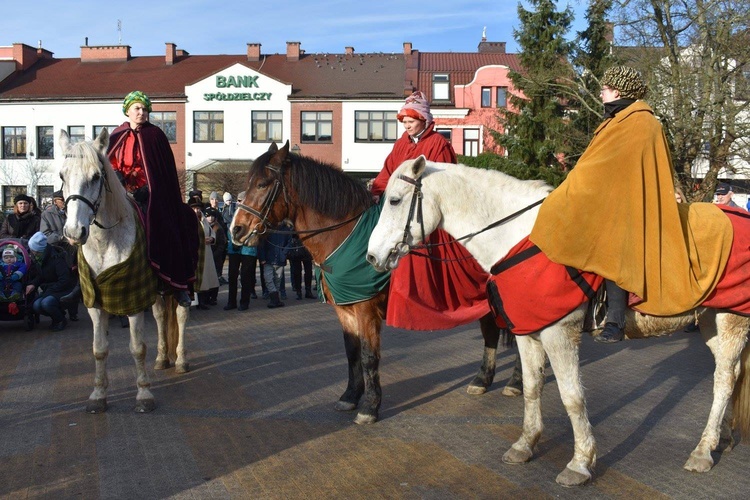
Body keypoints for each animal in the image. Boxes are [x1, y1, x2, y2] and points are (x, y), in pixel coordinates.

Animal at [61, 129, 191, 414]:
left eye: (96, 177)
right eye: (62, 176)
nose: (74, 232)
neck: (105, 241)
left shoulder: (133, 300)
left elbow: (137, 348)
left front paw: (144, 394)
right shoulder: (95, 303)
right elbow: (99, 349)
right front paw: (98, 395)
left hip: (184, 282)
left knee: (181, 314)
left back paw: (180, 360)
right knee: (161, 316)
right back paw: (162, 358)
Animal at [229, 143, 524, 424]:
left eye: (263, 184)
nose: (236, 230)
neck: (344, 235)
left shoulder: (366, 309)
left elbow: (369, 356)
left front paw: (370, 407)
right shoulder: (345, 310)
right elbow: (351, 352)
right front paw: (350, 396)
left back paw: (515, 383)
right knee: (491, 332)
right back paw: (482, 380)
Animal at [368, 155, 750, 484]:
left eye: (395, 201)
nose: (372, 256)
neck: (520, 237)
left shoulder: (559, 334)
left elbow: (572, 397)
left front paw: (580, 463)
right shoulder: (528, 333)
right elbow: (531, 387)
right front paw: (525, 444)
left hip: (730, 322)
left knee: (722, 381)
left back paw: (702, 451)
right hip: (712, 322)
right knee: (732, 375)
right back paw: (723, 438)